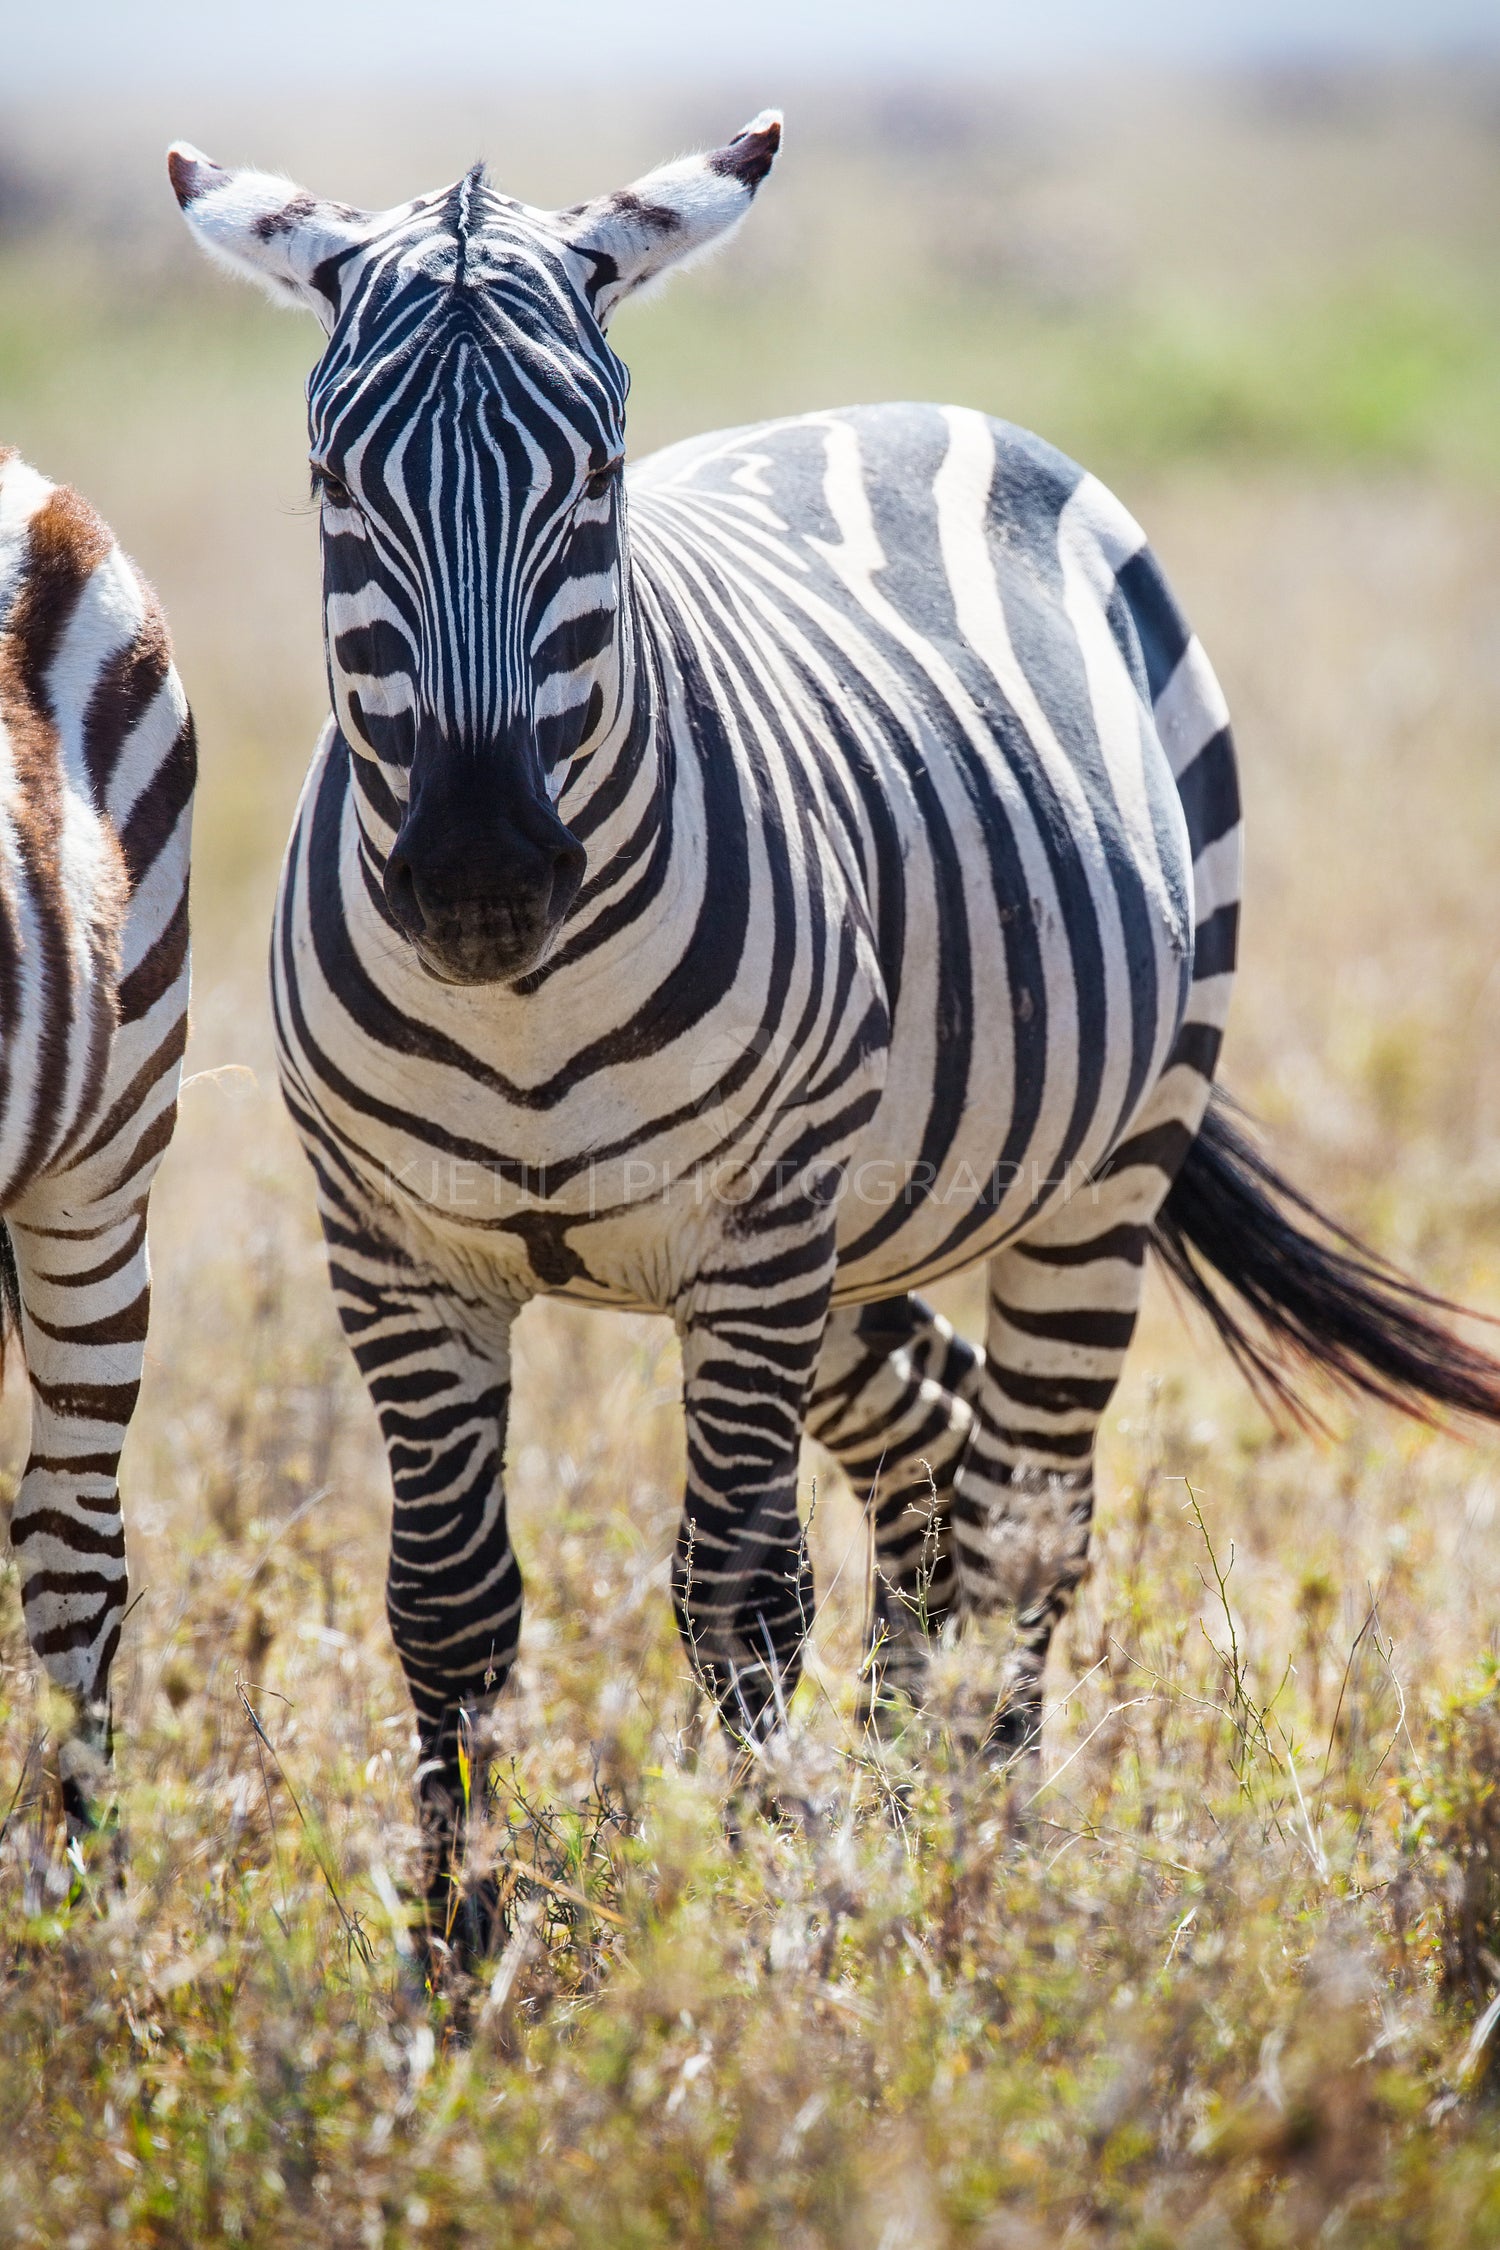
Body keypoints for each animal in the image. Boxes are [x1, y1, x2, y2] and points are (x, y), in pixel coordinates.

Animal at [173, 118, 1500, 1953]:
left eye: (594, 483)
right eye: (334, 490)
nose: (479, 877)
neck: (522, 1002)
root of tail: (911, 407)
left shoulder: (752, 1238)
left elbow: (738, 1597)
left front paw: (766, 1937)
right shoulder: (390, 1244)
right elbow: (446, 1603)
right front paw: (458, 1960)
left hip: (1093, 1164)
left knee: (1023, 1513)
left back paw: (984, 1868)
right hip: (859, 1229)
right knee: (936, 1455)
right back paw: (907, 1820)